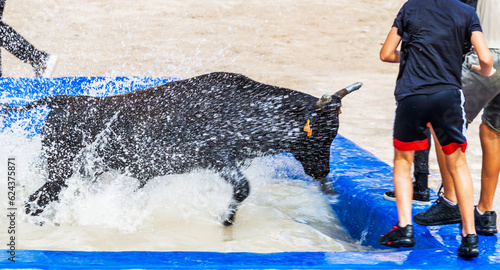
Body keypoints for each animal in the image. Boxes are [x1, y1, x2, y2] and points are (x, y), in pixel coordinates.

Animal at [0, 72, 360, 226]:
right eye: (322, 133)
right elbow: (243, 189)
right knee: (33, 203)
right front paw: (226, 219)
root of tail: (62, 100)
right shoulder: (217, 158)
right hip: (59, 174)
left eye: (335, 133)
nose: (323, 172)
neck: (250, 108)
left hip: (74, 175)